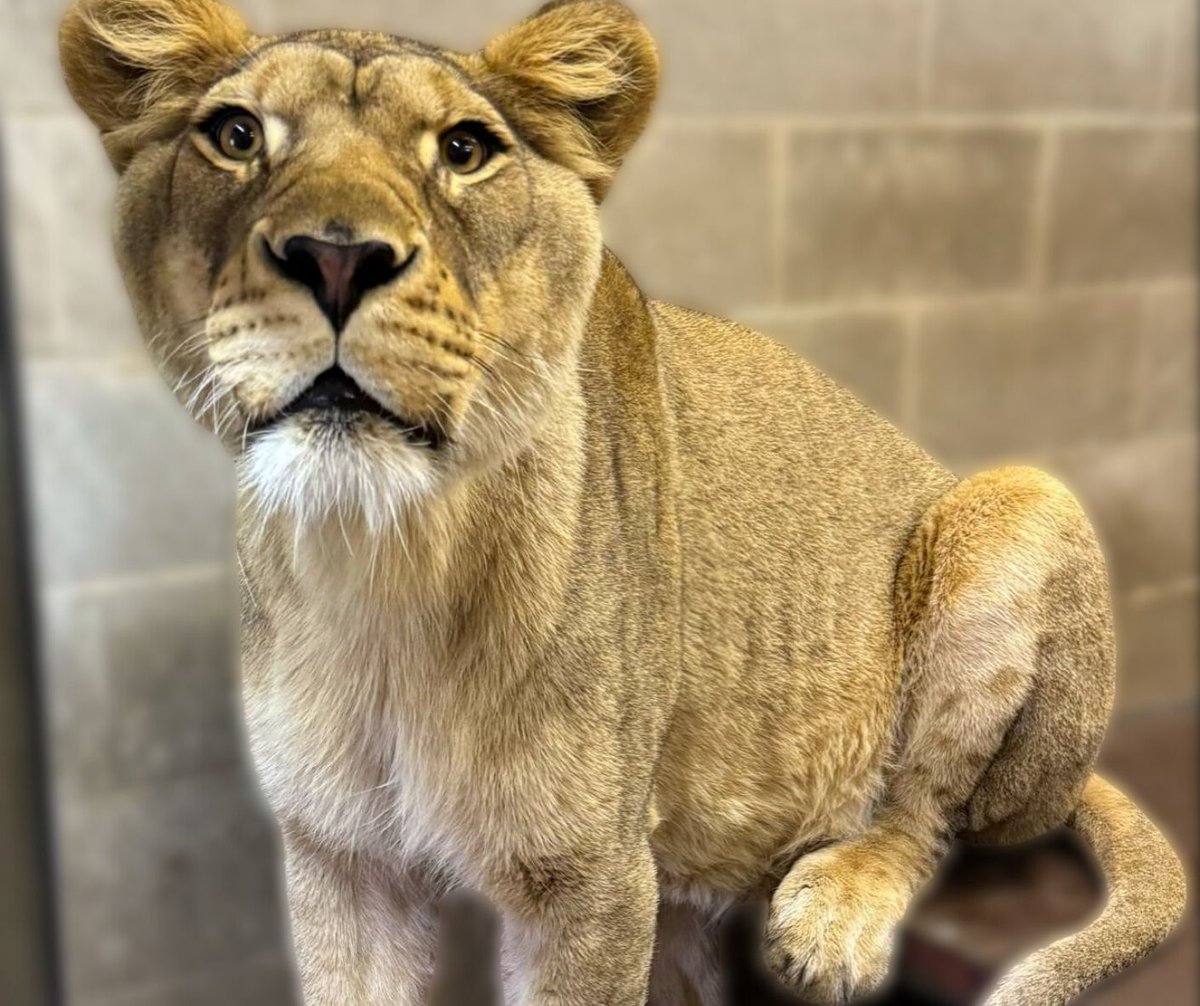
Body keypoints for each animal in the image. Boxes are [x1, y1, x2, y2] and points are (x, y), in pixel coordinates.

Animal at [58, 1, 1185, 1003]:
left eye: (464, 148)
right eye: (235, 135)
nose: (337, 256)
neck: (386, 564)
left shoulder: (591, 880)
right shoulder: (340, 858)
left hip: (1018, 502)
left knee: (931, 813)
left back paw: (836, 916)